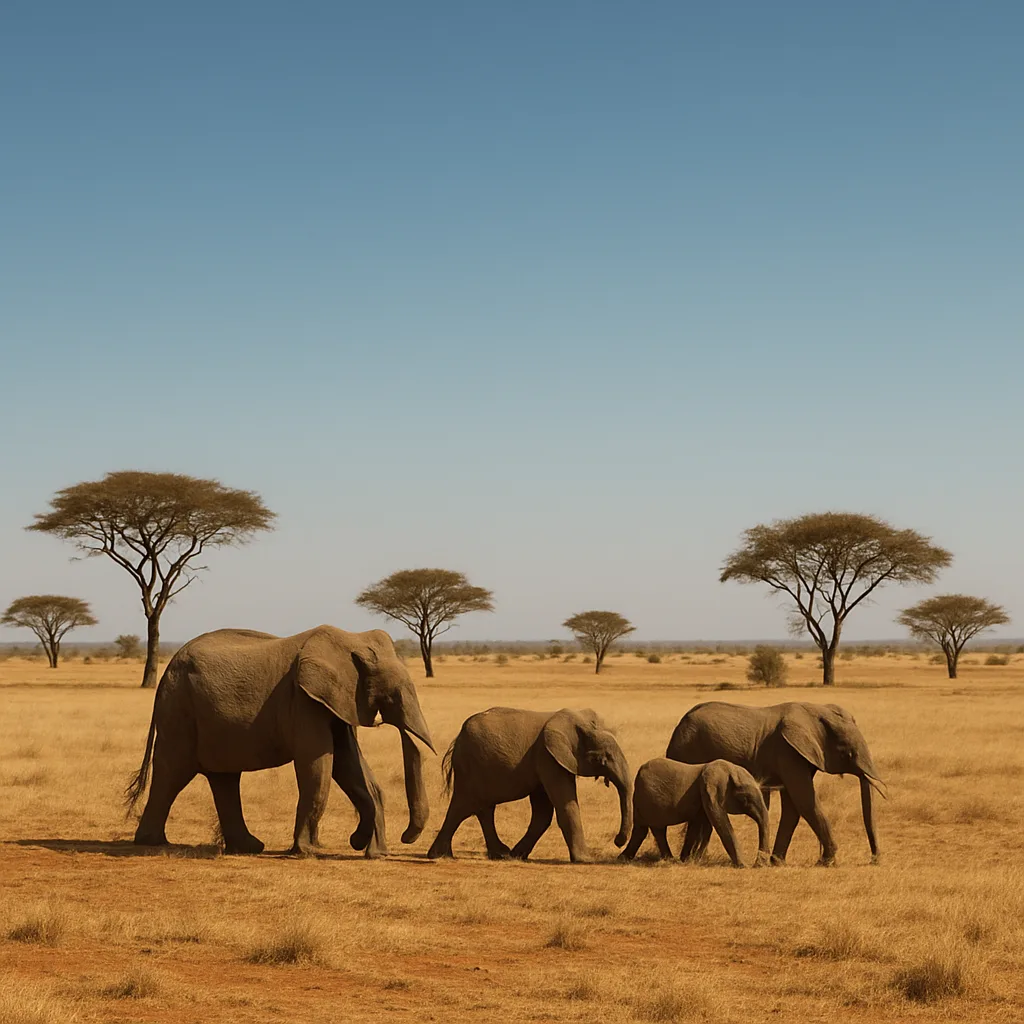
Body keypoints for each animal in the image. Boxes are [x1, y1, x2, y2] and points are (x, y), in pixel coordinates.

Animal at [125, 625, 434, 857]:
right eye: (393, 695)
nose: (356, 841)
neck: (351, 640)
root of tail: (167, 670)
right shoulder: (304, 701)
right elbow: (318, 767)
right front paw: (307, 852)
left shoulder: (338, 702)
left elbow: (348, 765)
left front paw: (375, 853)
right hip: (179, 710)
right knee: (173, 772)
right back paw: (152, 842)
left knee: (224, 778)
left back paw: (249, 847)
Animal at [426, 707, 632, 863]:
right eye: (602, 759)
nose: (617, 841)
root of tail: (456, 739)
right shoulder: (548, 757)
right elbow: (564, 805)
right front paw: (585, 860)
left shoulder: (547, 760)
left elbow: (543, 812)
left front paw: (518, 855)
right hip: (470, 767)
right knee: (463, 807)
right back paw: (440, 855)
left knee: (482, 809)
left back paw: (500, 854)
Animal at [618, 758, 770, 867]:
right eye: (745, 799)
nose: (759, 863)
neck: (729, 768)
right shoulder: (710, 793)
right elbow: (720, 824)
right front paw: (742, 865)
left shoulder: (704, 797)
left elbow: (701, 825)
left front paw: (688, 859)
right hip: (648, 801)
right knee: (655, 829)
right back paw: (668, 860)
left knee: (643, 829)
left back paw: (625, 858)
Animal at [666, 701, 885, 866]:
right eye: (847, 753)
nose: (875, 859)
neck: (816, 710)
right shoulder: (787, 752)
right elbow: (804, 800)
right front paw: (826, 862)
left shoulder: (798, 755)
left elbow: (793, 806)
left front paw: (777, 862)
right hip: (688, 753)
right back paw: (691, 859)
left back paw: (696, 858)